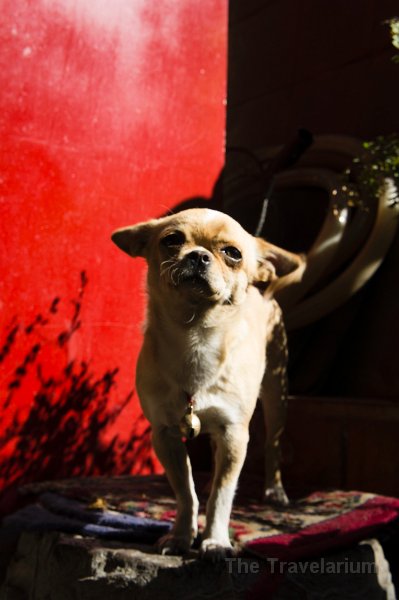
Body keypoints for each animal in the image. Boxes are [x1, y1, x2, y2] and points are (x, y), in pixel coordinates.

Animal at [112, 209, 306, 560]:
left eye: (232, 253)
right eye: (172, 240)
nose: (199, 255)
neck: (196, 340)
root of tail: (263, 289)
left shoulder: (235, 433)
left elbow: (222, 495)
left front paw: (215, 541)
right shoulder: (165, 435)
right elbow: (185, 492)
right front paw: (180, 537)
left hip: (276, 394)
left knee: (272, 445)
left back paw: (275, 490)